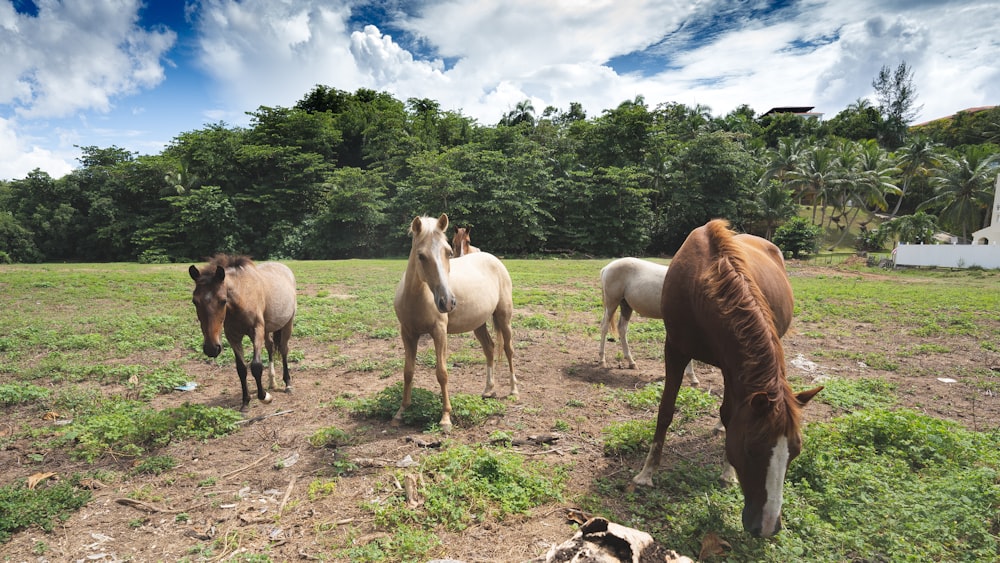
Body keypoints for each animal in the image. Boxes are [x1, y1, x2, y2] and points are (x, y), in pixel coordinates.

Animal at [188, 254, 296, 410]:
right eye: (195, 301)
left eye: (223, 300)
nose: (211, 348)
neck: (243, 297)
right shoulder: (233, 336)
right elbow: (241, 369)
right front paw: (245, 401)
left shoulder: (256, 330)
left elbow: (256, 366)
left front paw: (265, 397)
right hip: (267, 330)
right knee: (270, 347)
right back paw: (272, 382)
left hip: (288, 323)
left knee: (283, 349)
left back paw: (288, 384)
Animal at [390, 215, 516, 432]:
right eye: (421, 256)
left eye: (448, 252)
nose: (447, 302)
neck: (417, 298)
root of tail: (494, 259)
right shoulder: (407, 333)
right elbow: (408, 371)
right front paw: (401, 412)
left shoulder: (439, 332)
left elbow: (442, 373)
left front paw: (445, 418)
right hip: (478, 323)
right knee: (490, 348)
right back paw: (488, 390)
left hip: (503, 316)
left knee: (508, 349)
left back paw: (514, 389)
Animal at [632, 220, 820, 536]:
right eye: (751, 449)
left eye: (795, 452)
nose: (767, 527)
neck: (701, 284)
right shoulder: (675, 350)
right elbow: (666, 410)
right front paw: (647, 473)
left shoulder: (733, 367)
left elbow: (731, 413)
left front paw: (727, 472)